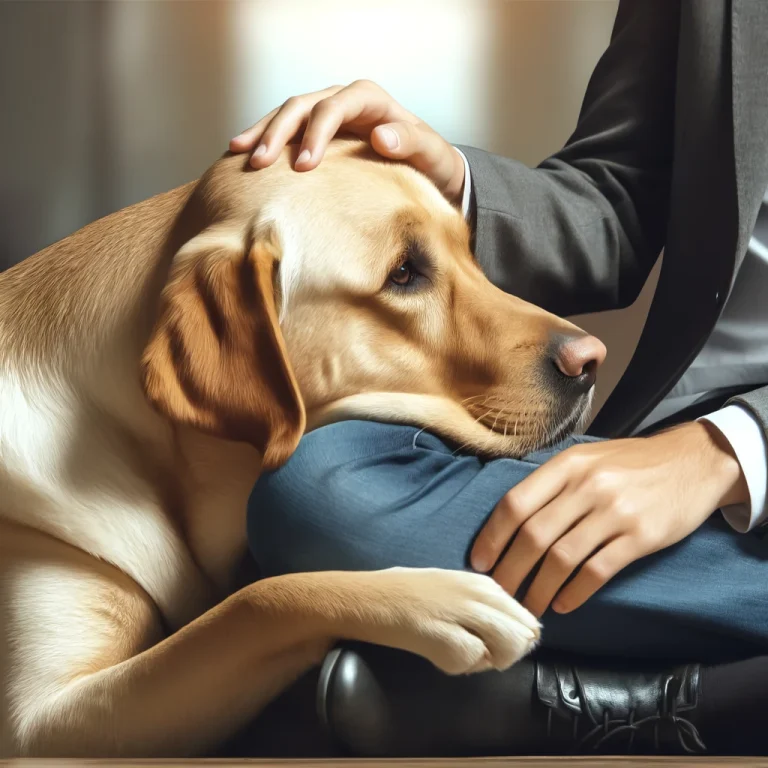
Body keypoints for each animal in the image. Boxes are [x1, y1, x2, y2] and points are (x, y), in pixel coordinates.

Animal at [0, 140, 604, 756]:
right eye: (403, 273)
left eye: (468, 250)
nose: (592, 360)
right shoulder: (39, 726)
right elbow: (253, 603)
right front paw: (442, 602)